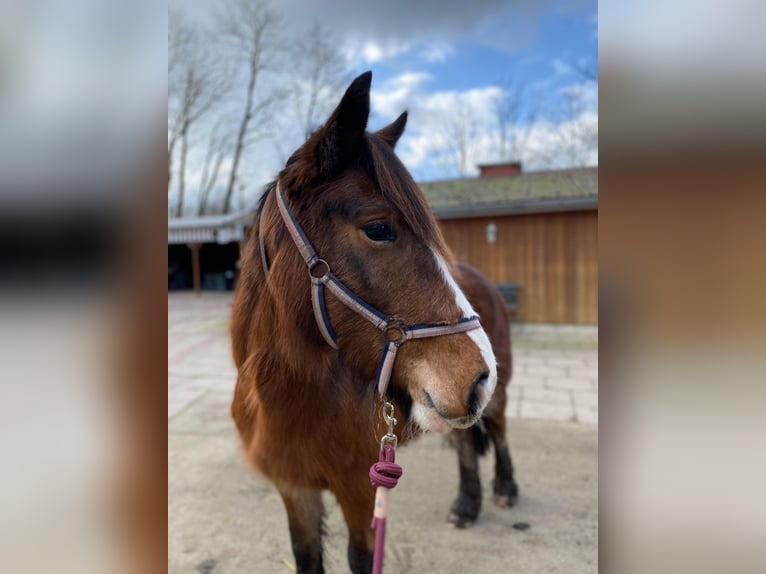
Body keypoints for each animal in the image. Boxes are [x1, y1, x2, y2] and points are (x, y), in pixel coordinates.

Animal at [231, 73, 520, 574]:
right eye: (379, 229)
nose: (478, 375)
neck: (294, 397)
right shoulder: (295, 491)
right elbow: (306, 558)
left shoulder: (360, 490)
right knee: (466, 444)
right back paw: (466, 505)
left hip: (497, 398)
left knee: (497, 432)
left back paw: (504, 488)